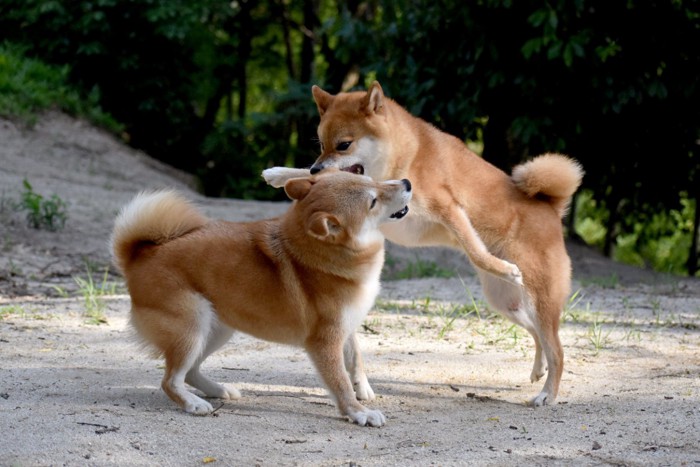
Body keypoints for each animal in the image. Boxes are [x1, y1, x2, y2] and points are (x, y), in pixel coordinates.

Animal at [112, 170, 412, 426]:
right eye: (373, 201)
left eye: (368, 178)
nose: (407, 182)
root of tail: (140, 255)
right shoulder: (325, 342)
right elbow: (339, 382)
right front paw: (358, 412)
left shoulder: (346, 329)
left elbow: (355, 360)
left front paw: (364, 390)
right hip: (192, 328)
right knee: (171, 380)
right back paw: (193, 404)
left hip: (216, 330)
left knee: (191, 371)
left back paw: (217, 389)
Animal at [260, 82, 584, 408]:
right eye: (321, 144)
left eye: (343, 145)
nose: (316, 167)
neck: (404, 157)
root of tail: (551, 207)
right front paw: (278, 173)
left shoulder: (450, 208)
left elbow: (475, 250)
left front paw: (500, 266)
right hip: (507, 303)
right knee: (539, 335)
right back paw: (539, 369)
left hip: (537, 299)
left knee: (557, 349)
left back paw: (547, 393)